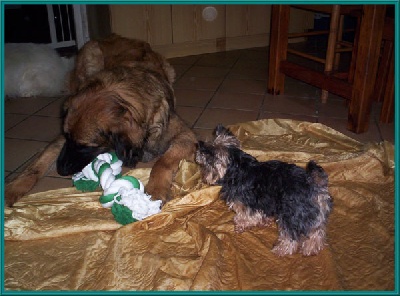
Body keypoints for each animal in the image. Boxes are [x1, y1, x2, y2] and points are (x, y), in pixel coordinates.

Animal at [5, 34, 199, 206]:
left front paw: (155, 190)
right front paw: (12, 189)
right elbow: (37, 165)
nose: (61, 170)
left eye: (86, 146)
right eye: (68, 137)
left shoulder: (185, 136)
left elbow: (162, 162)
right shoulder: (62, 139)